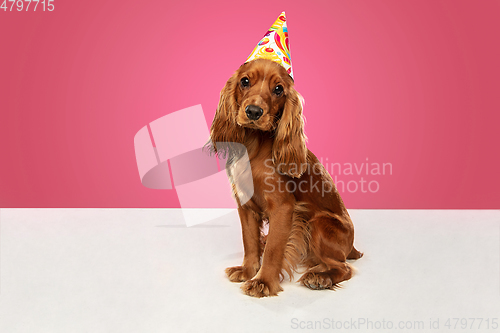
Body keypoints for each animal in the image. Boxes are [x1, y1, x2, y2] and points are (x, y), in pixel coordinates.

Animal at [209, 57, 362, 296]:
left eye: (278, 89)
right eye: (244, 81)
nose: (254, 112)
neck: (254, 146)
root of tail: (354, 247)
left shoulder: (283, 207)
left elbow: (274, 249)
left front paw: (262, 282)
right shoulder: (245, 204)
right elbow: (249, 241)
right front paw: (247, 270)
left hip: (318, 224)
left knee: (343, 266)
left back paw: (321, 278)